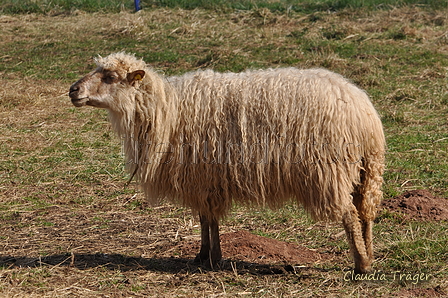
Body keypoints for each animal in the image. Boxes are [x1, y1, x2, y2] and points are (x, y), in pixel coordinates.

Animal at [69, 52, 384, 274]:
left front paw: (213, 258)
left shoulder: (205, 175)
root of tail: (363, 110)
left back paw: (361, 265)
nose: (73, 90)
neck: (166, 110)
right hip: (366, 170)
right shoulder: (203, 178)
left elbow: (209, 218)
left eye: (110, 77)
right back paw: (369, 255)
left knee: (350, 215)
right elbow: (204, 218)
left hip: (330, 171)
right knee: (365, 213)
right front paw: (202, 255)